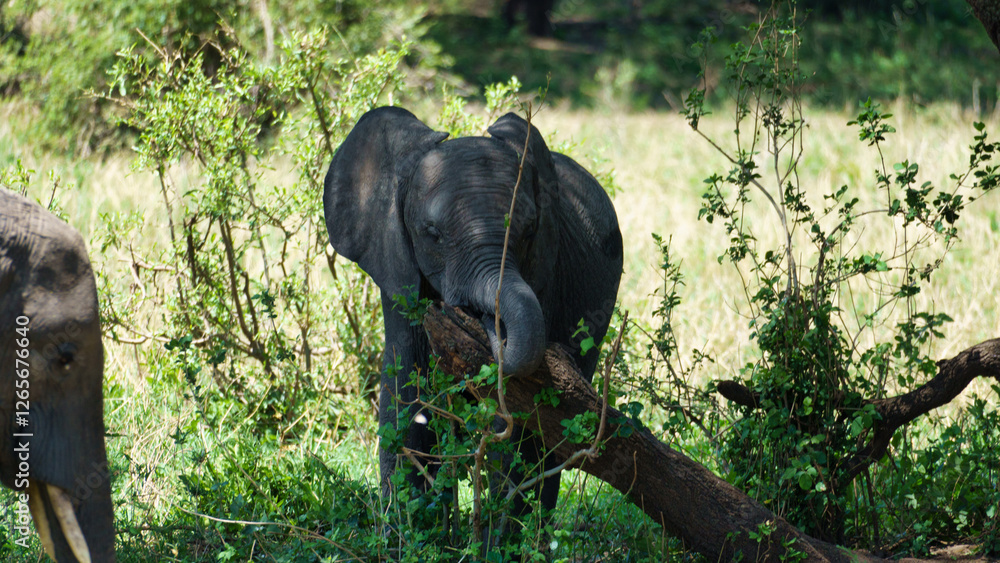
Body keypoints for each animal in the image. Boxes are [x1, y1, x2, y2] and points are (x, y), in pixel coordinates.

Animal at [323, 106, 622, 528]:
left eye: (529, 230)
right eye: (431, 233)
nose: (483, 322)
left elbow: (516, 424)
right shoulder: (396, 270)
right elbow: (404, 397)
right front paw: (409, 533)